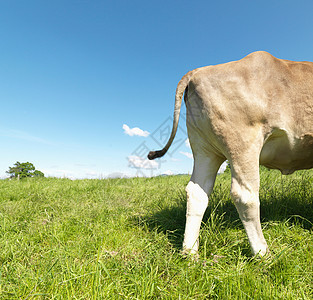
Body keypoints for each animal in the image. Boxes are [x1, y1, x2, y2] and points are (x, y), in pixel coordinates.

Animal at [147, 51, 312, 255]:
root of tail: (197, 71)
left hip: (204, 149)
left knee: (197, 192)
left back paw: (190, 252)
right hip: (242, 142)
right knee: (245, 195)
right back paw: (262, 253)